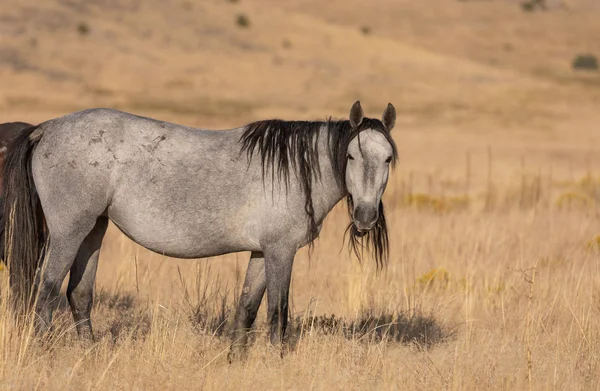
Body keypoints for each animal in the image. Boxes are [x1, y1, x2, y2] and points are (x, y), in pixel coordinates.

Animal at [5, 100, 398, 358]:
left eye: (388, 158)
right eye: (351, 156)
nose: (365, 217)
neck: (295, 170)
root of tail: (45, 128)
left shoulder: (261, 251)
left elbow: (247, 308)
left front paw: (236, 363)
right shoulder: (281, 251)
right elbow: (278, 313)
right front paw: (277, 363)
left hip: (93, 230)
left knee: (79, 294)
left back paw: (90, 356)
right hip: (69, 232)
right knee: (47, 292)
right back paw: (43, 354)